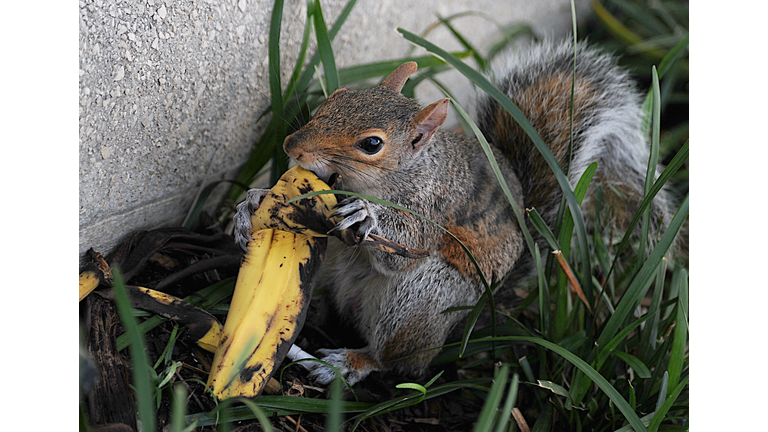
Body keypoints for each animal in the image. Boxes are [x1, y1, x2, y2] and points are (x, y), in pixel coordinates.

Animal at [232, 39, 680, 384]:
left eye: (372, 144)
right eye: (336, 97)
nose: (292, 146)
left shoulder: (434, 203)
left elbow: (407, 245)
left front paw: (367, 215)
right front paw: (250, 203)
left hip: (425, 297)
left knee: (397, 361)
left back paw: (345, 362)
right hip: (329, 269)